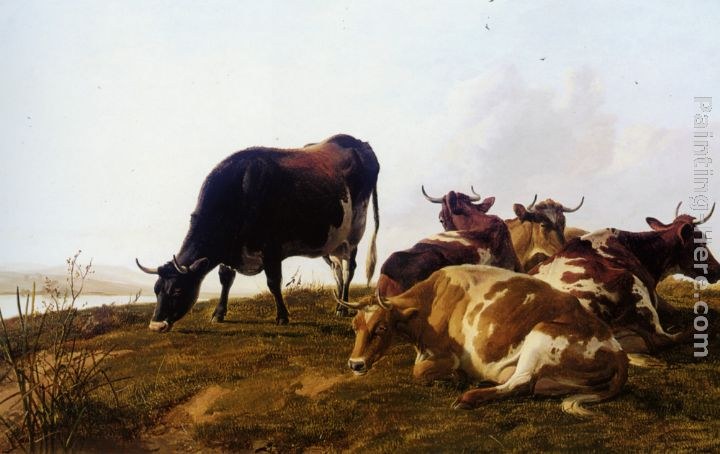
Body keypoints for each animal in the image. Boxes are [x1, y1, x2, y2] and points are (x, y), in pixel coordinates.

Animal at [136, 134, 380, 331]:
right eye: (156, 289)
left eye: (177, 291)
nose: (156, 326)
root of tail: (358, 142)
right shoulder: (231, 249)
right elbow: (226, 279)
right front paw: (218, 314)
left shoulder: (271, 247)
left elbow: (273, 282)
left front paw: (282, 316)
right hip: (332, 241)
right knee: (337, 270)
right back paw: (339, 304)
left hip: (354, 231)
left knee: (349, 269)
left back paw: (343, 307)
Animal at [340, 265, 628, 417]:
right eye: (355, 327)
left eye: (381, 327)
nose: (355, 364)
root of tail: (617, 350)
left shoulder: (447, 355)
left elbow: (419, 372)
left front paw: (455, 380)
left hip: (541, 334)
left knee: (521, 382)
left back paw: (468, 397)